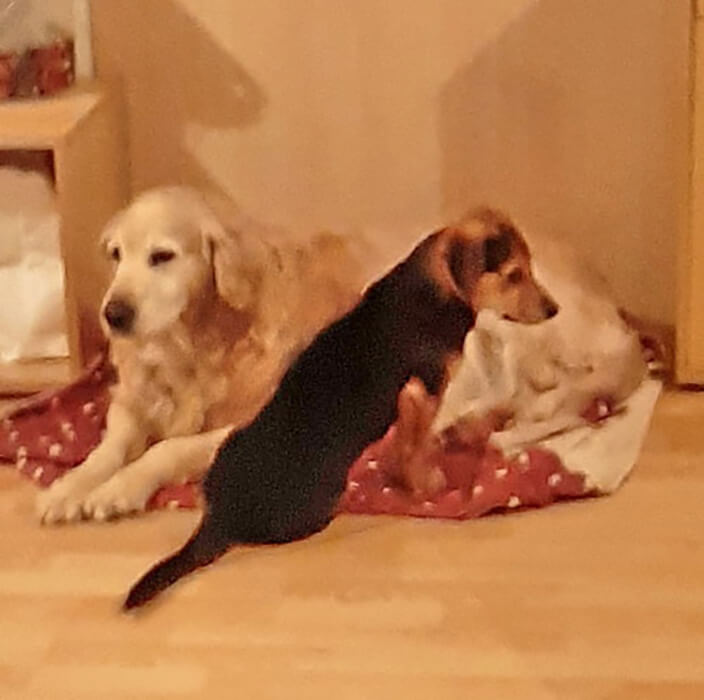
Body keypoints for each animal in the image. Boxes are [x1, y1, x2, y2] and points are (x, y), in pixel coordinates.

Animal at [36, 186, 363, 524]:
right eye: (116, 254)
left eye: (162, 256)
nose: (113, 315)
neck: (188, 346)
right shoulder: (130, 402)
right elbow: (107, 450)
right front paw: (69, 487)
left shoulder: (244, 424)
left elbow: (168, 448)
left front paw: (118, 488)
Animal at [123, 207, 557, 610]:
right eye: (514, 275)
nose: (554, 311)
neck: (435, 287)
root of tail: (220, 517)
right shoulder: (423, 392)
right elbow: (417, 446)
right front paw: (428, 484)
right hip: (317, 504)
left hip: (229, 442)